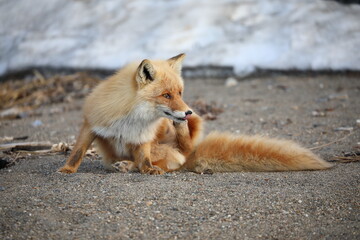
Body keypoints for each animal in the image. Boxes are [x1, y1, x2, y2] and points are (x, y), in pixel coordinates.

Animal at [59, 54, 332, 174]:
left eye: (179, 92)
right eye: (166, 95)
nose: (188, 112)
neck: (132, 118)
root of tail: (192, 154)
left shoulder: (144, 138)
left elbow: (144, 160)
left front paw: (147, 169)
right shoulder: (91, 123)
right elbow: (78, 151)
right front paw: (67, 170)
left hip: (176, 145)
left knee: (175, 157)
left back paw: (130, 164)